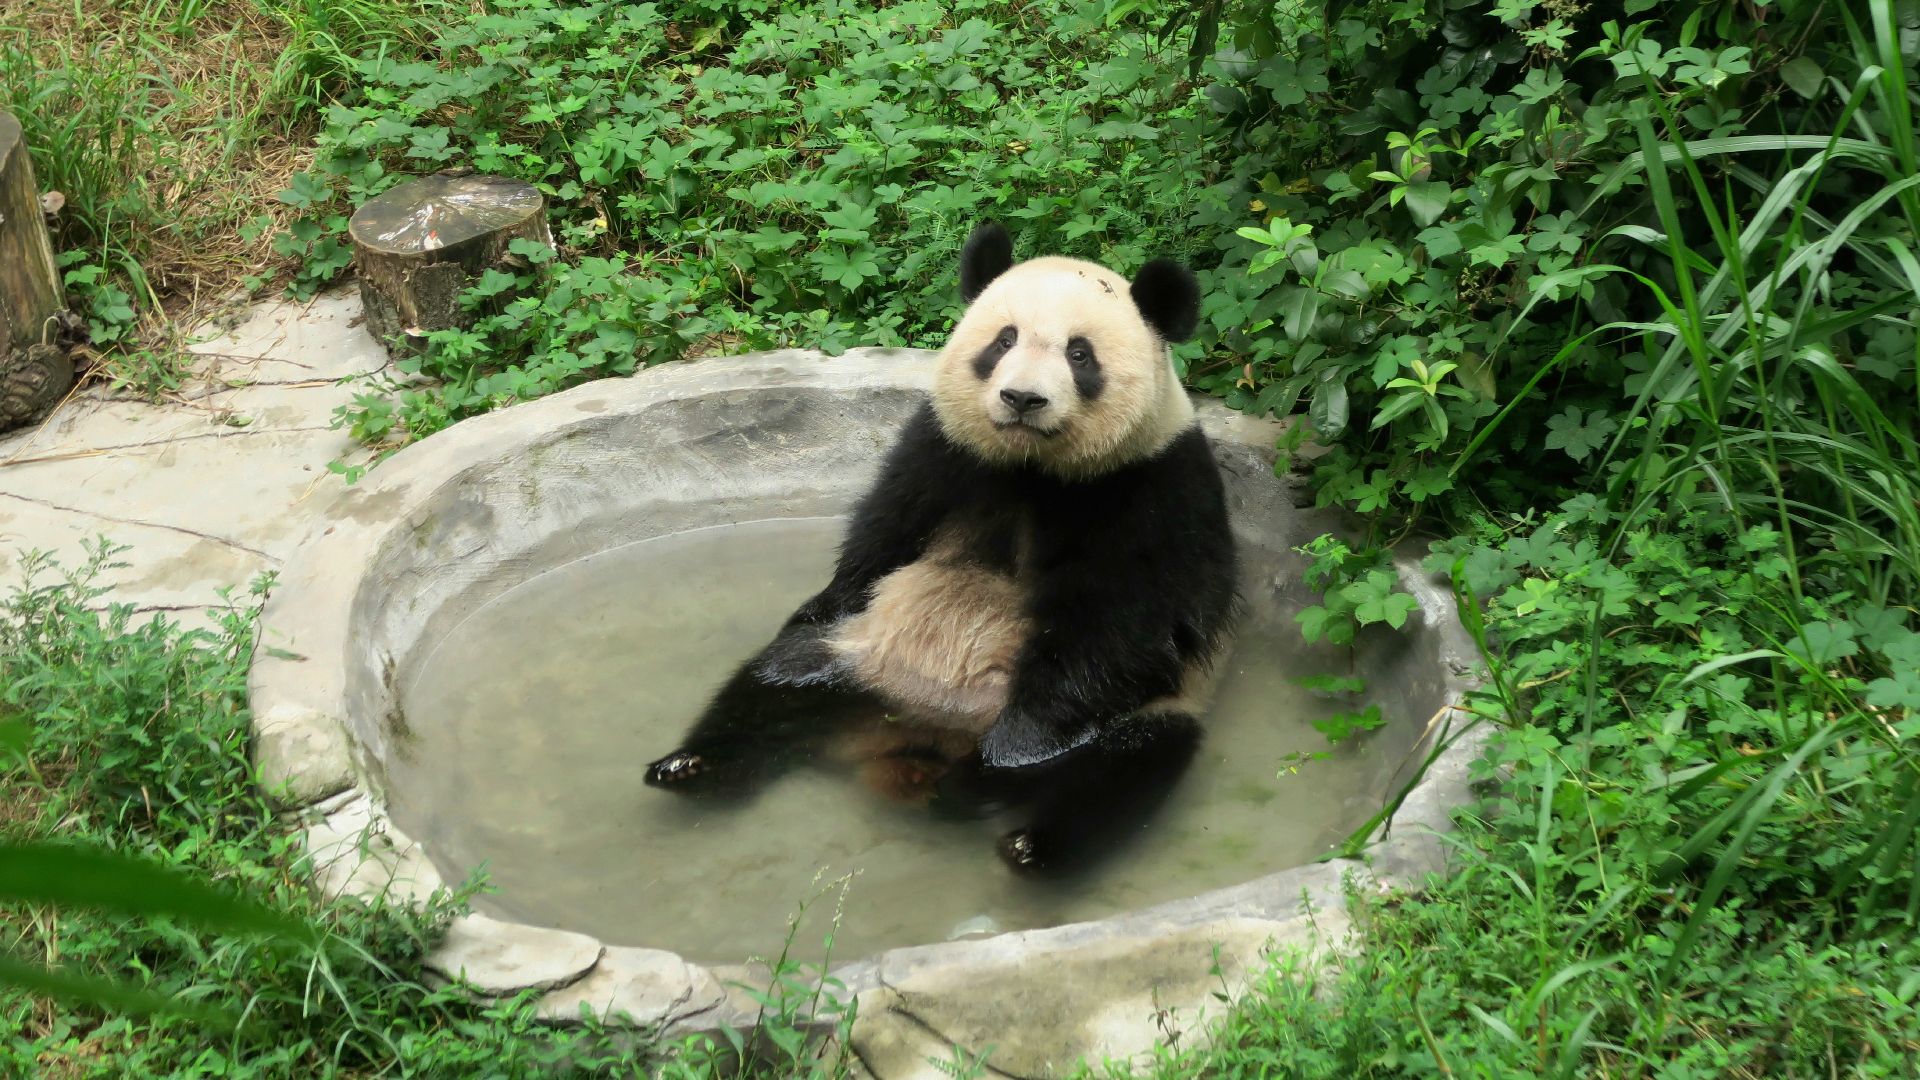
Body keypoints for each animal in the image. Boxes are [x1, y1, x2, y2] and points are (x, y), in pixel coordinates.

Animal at [644, 222, 1239, 875]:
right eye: (1004, 340)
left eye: (1079, 354)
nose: (1022, 399)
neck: (1034, 468)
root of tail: (914, 737)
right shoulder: (943, 449)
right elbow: (882, 539)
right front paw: (825, 595)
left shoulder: (1154, 487)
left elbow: (1123, 630)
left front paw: (1017, 748)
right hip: (855, 659)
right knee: (770, 683)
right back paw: (693, 766)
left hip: (1147, 716)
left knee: (1121, 771)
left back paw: (1012, 825)